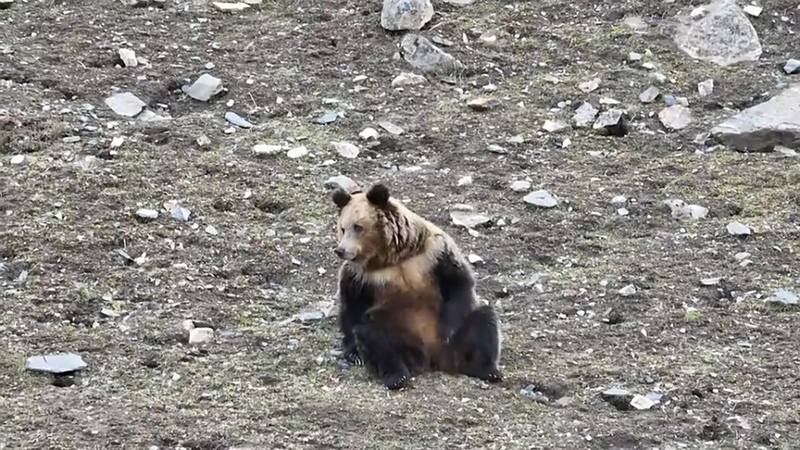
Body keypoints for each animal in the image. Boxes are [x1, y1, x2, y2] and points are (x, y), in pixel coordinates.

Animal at [331, 183, 503, 390]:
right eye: (342, 228)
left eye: (358, 227)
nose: (341, 250)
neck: (392, 257)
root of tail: (434, 358)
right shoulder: (361, 276)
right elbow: (352, 306)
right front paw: (353, 352)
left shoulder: (433, 253)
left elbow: (457, 282)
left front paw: (448, 330)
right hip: (400, 334)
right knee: (373, 336)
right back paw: (397, 376)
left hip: (459, 340)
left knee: (483, 319)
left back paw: (487, 370)